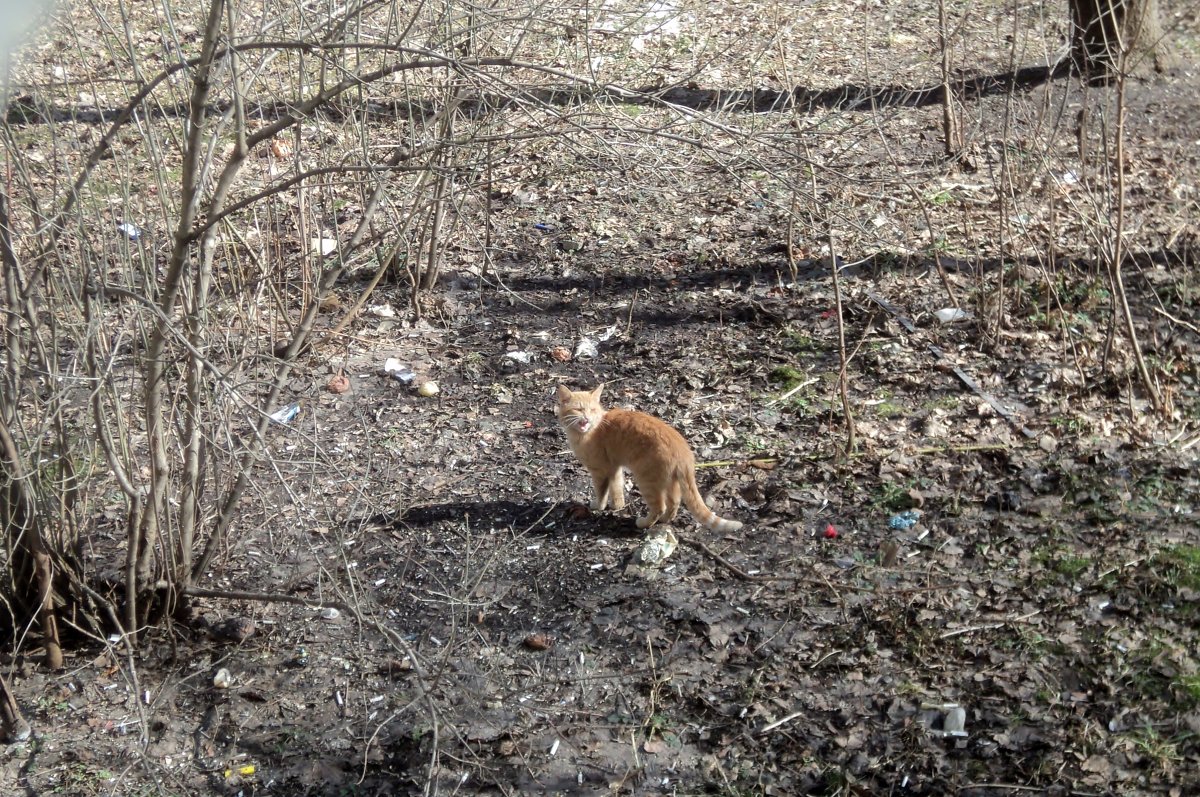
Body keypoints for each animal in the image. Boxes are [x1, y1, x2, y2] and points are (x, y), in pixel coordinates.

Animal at [552, 384, 739, 532]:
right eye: (578, 409)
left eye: (592, 410)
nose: (586, 418)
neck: (592, 430)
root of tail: (682, 450)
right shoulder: (614, 468)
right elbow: (616, 488)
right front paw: (617, 505)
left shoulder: (600, 471)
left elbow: (601, 493)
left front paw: (599, 506)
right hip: (670, 482)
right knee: (674, 503)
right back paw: (665, 520)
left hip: (646, 481)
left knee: (659, 506)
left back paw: (643, 523)